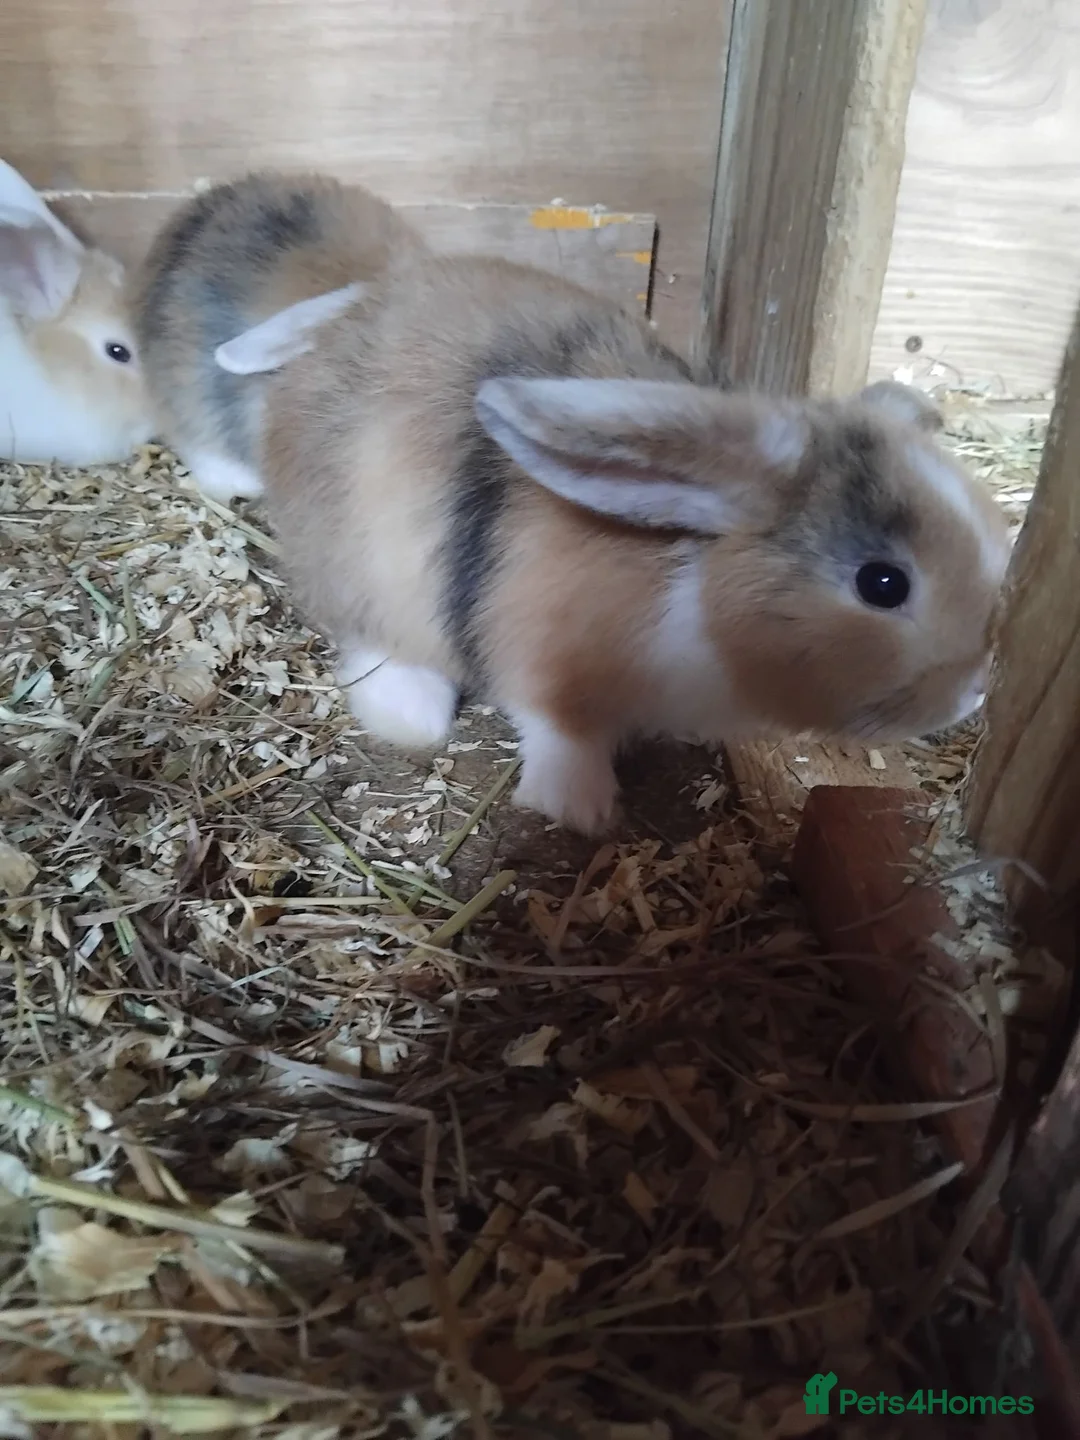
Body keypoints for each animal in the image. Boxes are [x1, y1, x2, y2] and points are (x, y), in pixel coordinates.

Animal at [226, 252, 1012, 834]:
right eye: (883, 584)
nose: (977, 690)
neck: (695, 588)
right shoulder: (542, 662)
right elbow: (559, 730)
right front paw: (581, 809)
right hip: (366, 572)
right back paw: (409, 713)